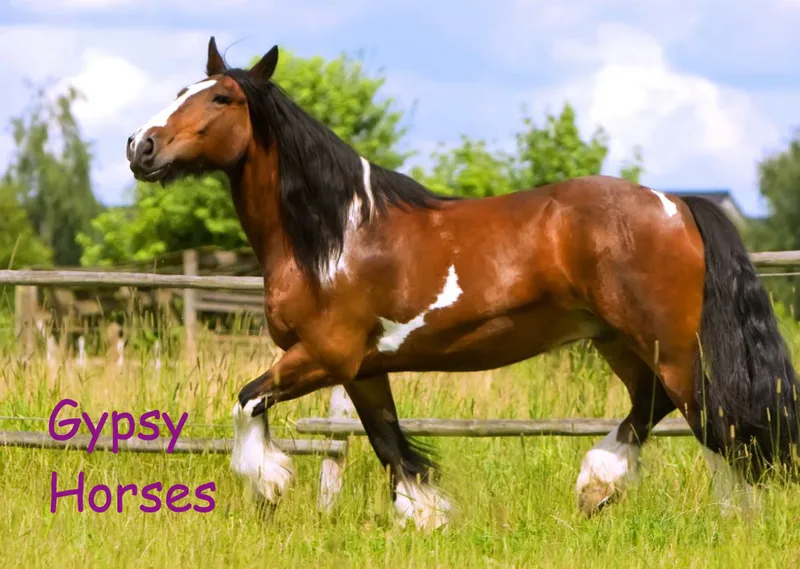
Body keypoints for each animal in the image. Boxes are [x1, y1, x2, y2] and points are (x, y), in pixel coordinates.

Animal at [126, 37, 800, 529]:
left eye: (222, 99)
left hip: (674, 346)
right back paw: (597, 486)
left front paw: (270, 484)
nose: (140, 146)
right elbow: (389, 443)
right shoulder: (364, 368)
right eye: (182, 91)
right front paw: (426, 518)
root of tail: (677, 203)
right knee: (654, 406)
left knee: (718, 425)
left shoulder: (322, 355)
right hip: (621, 341)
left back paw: (731, 519)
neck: (336, 233)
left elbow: (246, 401)